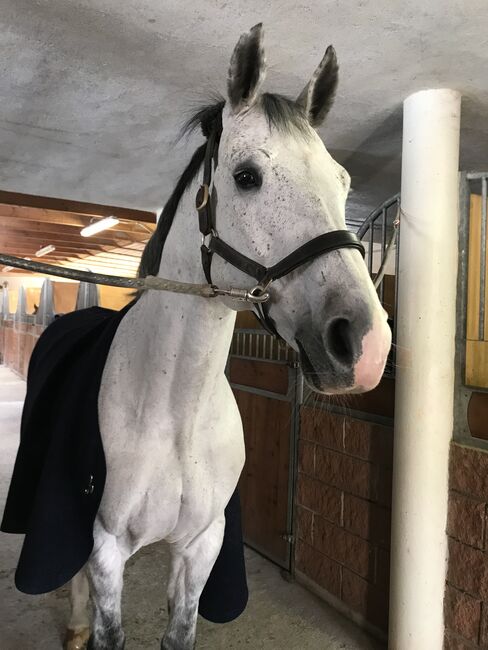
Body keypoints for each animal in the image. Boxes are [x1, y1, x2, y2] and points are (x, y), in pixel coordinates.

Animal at [66, 24, 390, 648]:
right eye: (245, 177)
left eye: (343, 183)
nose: (365, 345)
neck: (174, 410)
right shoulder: (106, 551)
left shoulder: (201, 547)